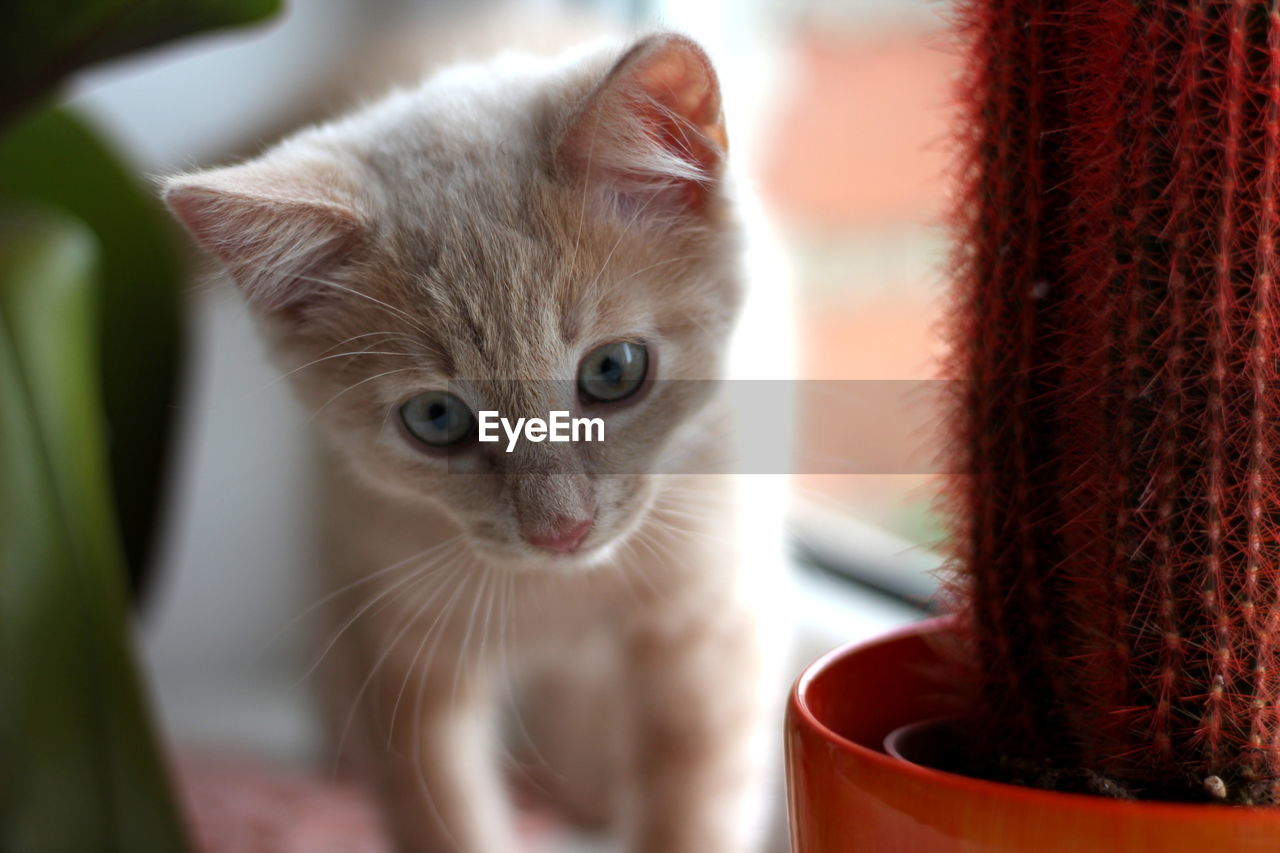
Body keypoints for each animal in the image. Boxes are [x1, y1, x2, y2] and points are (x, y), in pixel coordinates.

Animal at [160, 31, 778, 850]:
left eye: (614, 370)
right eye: (436, 418)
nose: (561, 530)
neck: (557, 592)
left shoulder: (709, 613)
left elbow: (696, 797)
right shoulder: (397, 634)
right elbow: (439, 810)